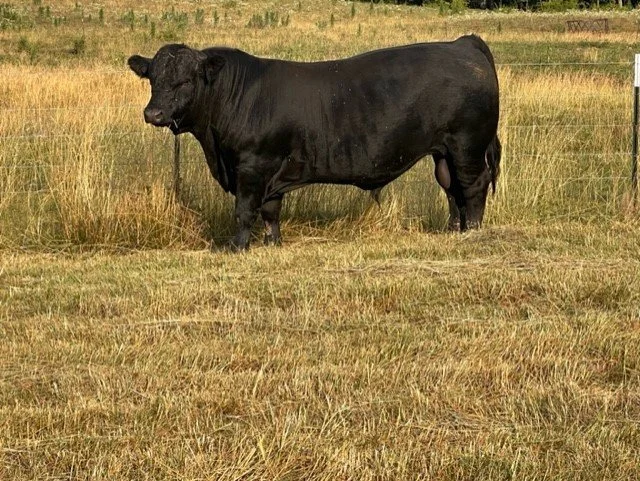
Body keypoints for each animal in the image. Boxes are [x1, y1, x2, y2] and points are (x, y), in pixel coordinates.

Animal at [128, 35, 501, 250]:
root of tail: (462, 43)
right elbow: (271, 210)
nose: (153, 113)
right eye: (152, 78)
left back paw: (472, 230)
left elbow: (244, 209)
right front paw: (273, 243)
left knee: (473, 184)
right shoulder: (270, 172)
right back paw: (453, 229)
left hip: (467, 144)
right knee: (451, 187)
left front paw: (236, 246)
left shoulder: (251, 165)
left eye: (186, 81)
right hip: (443, 151)